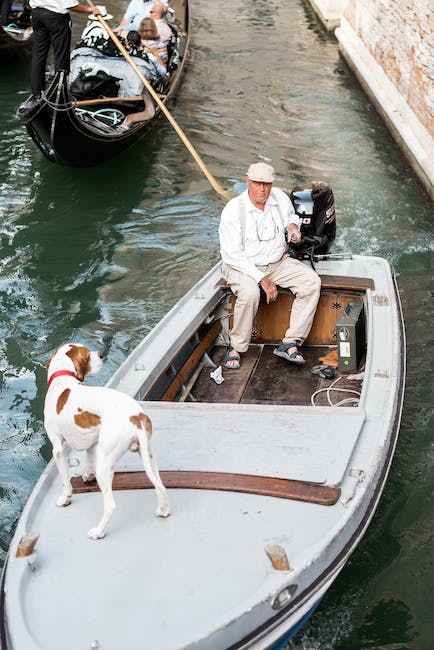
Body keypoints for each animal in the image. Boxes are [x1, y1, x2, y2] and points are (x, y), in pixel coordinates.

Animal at [44, 342, 170, 540]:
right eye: (88, 355)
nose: (102, 354)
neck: (62, 380)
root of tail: (136, 416)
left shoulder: (57, 448)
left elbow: (65, 481)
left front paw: (65, 499)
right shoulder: (92, 442)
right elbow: (88, 459)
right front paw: (88, 476)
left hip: (105, 466)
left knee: (110, 506)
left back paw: (98, 532)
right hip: (148, 457)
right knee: (161, 487)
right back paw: (163, 510)